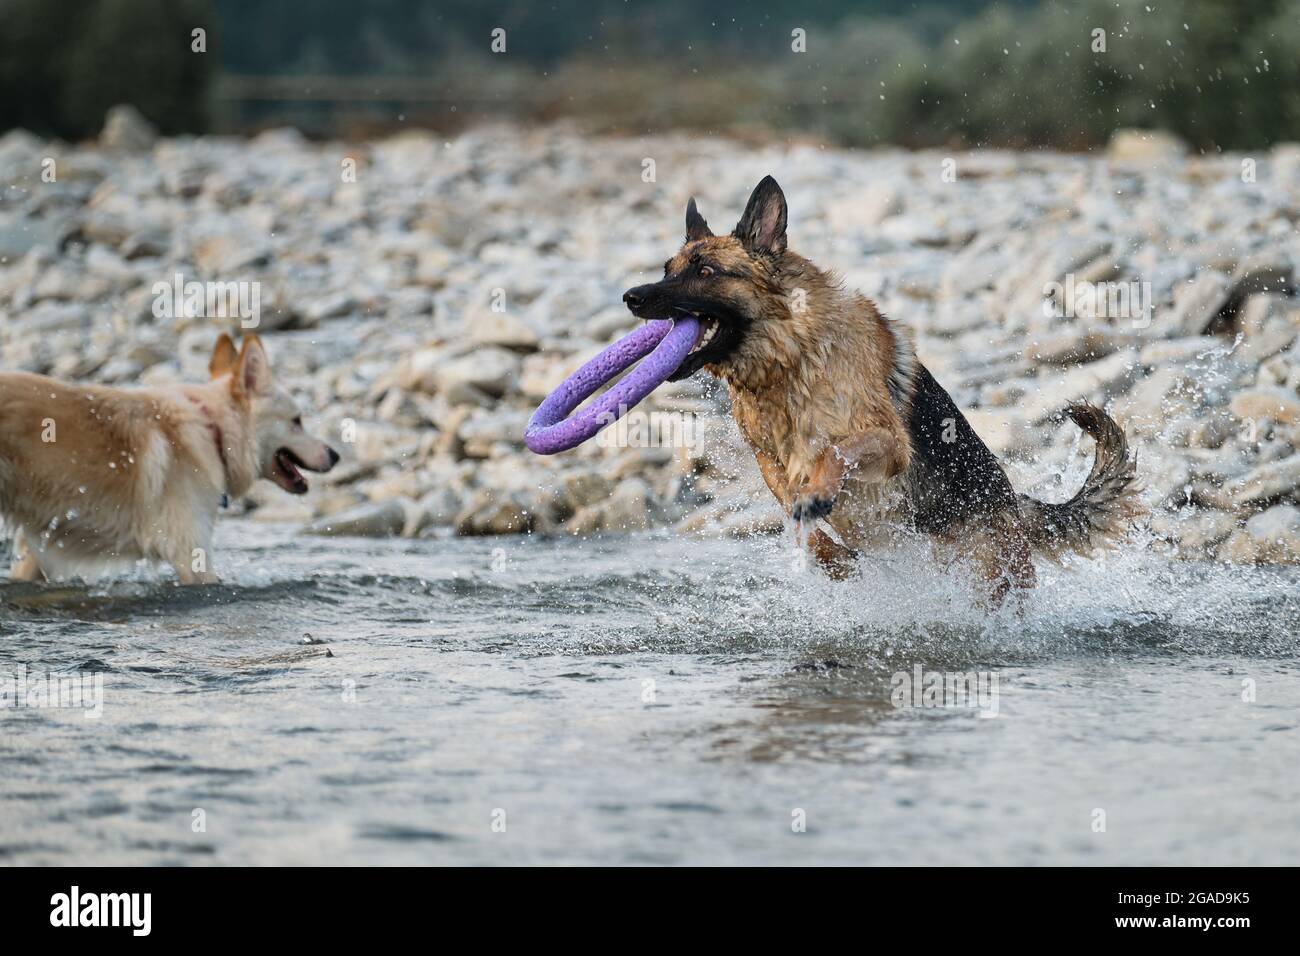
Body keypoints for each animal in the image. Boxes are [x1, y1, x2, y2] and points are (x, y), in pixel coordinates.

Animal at [618, 175, 1138, 600]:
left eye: (706, 272)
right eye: (668, 269)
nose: (631, 297)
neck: (789, 361)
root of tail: (1013, 501)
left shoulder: (887, 443)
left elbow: (834, 451)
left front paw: (819, 493)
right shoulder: (767, 457)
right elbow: (788, 501)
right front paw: (829, 553)